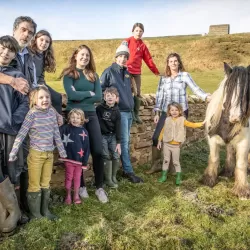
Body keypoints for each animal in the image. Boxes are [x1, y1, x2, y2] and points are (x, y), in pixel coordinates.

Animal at [203, 63, 250, 199]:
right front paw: (209, 179)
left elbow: (241, 164)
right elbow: (214, 158)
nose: (235, 117)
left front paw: (242, 189)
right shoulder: (212, 139)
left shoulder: (244, 142)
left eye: (246, 92)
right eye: (228, 90)